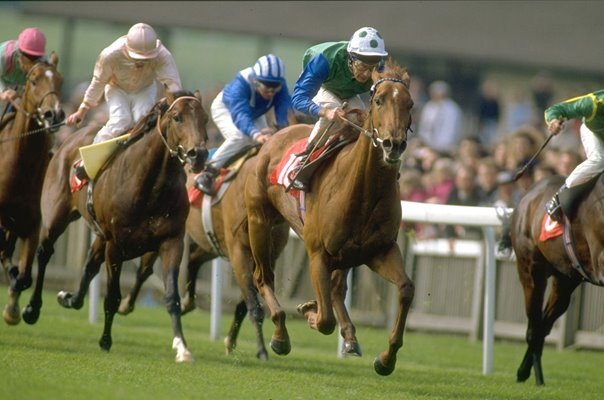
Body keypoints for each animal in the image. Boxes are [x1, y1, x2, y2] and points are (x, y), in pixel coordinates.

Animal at [23, 90, 210, 362]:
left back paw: (70, 298)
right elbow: (112, 296)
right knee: (45, 252)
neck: (149, 187)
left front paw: (182, 348)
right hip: (56, 216)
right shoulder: (116, 244)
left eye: (205, 118)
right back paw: (31, 309)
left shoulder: (171, 241)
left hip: (100, 234)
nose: (199, 154)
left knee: (89, 265)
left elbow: (171, 297)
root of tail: (69, 141)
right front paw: (105, 340)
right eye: (177, 117)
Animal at [243, 60, 412, 376]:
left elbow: (406, 289)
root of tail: (276, 135)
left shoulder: (381, 250)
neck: (362, 189)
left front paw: (386, 359)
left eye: (409, 103)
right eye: (379, 100)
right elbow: (324, 320)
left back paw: (349, 337)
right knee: (263, 276)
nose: (392, 145)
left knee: (335, 288)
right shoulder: (318, 253)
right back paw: (280, 334)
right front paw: (309, 312)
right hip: (260, 221)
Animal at [512, 173, 604, 384]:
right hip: (531, 271)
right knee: (534, 326)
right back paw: (533, 377)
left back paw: (527, 372)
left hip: (565, 280)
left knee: (543, 326)